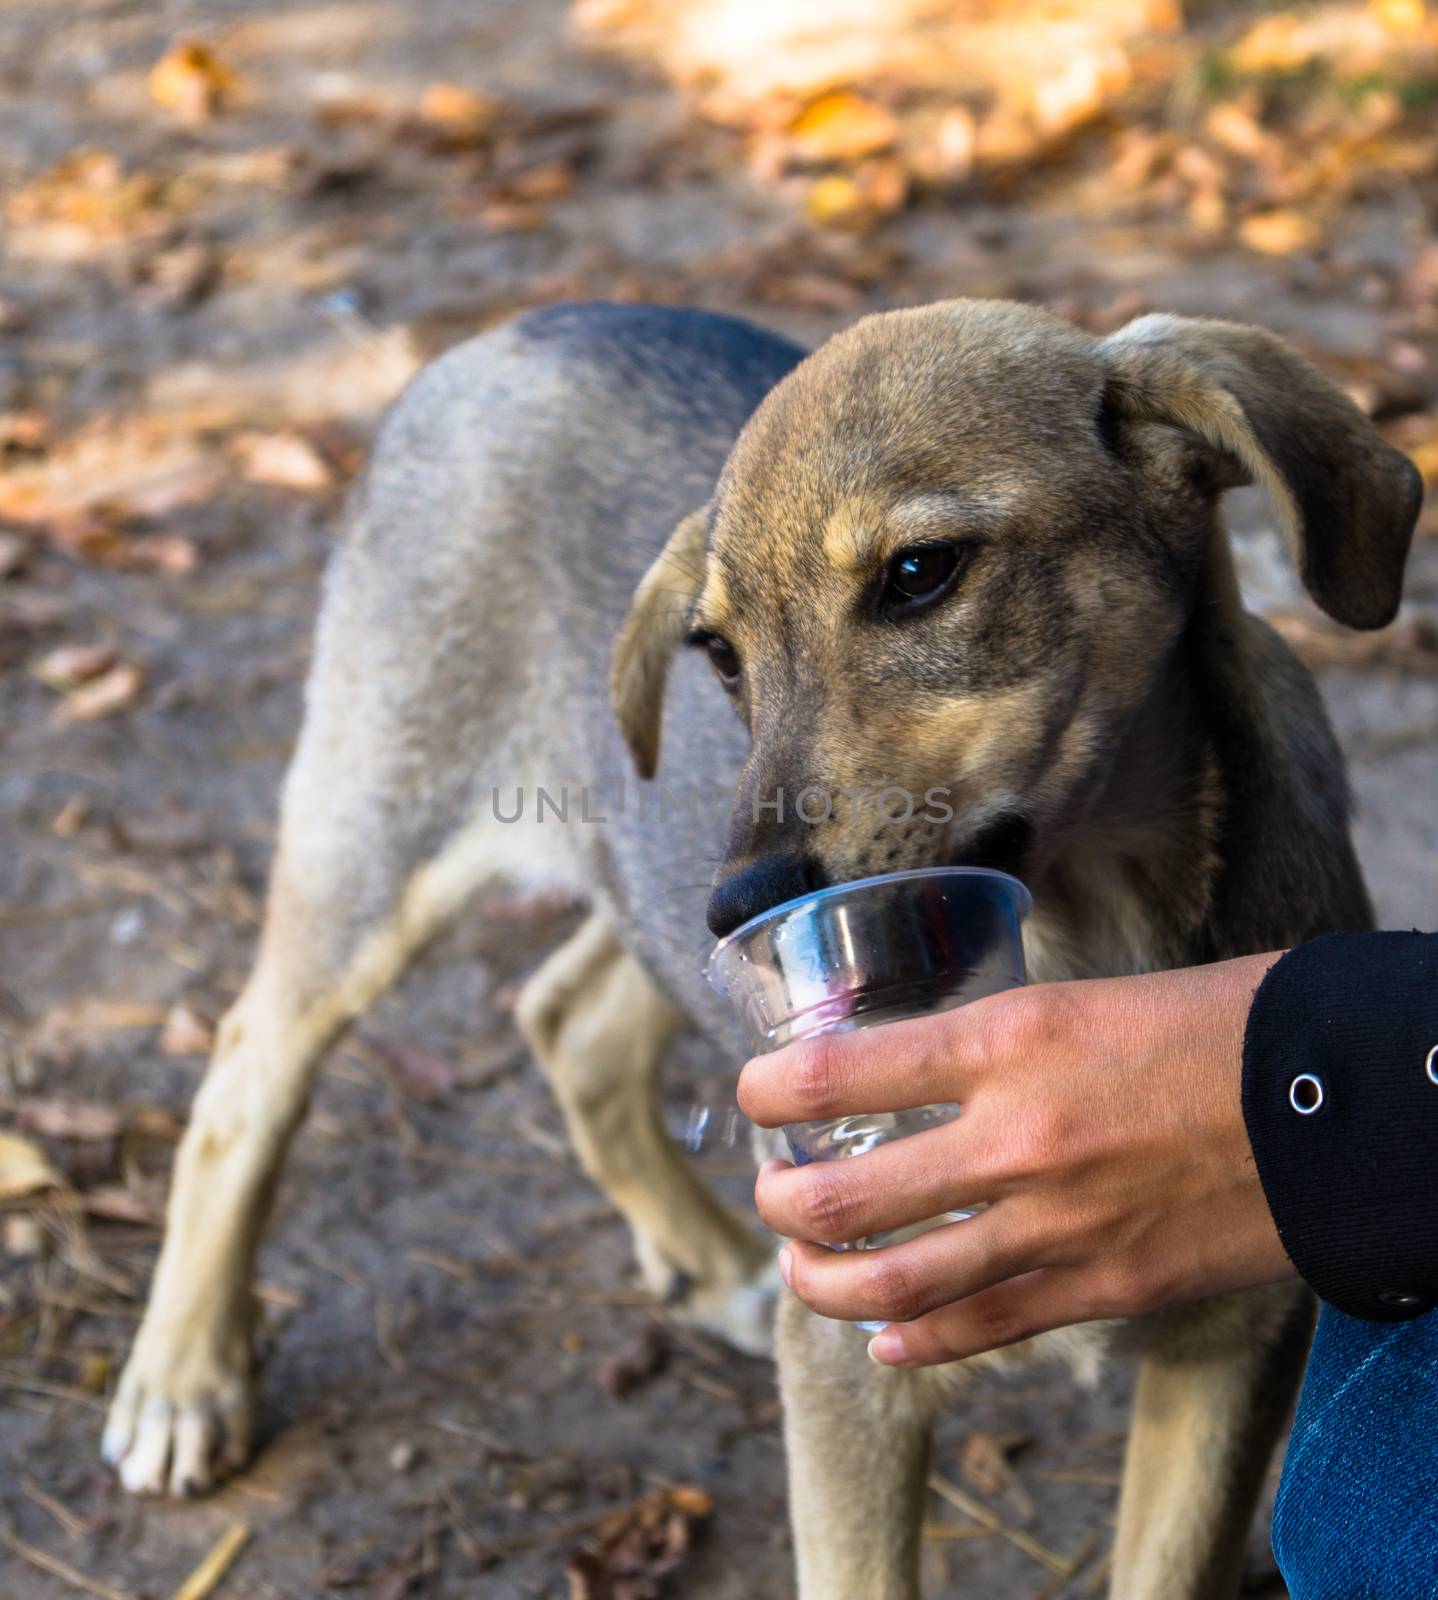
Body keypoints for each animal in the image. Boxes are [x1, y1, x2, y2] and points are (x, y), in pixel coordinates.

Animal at [101, 294, 1414, 1593]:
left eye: (920, 573)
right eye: (719, 654)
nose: (740, 906)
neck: (1089, 934)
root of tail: (517, 327)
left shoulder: (1235, 1353)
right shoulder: (849, 1370)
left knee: (564, 1017)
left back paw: (712, 1259)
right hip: (379, 842)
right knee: (245, 1071)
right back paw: (182, 1380)